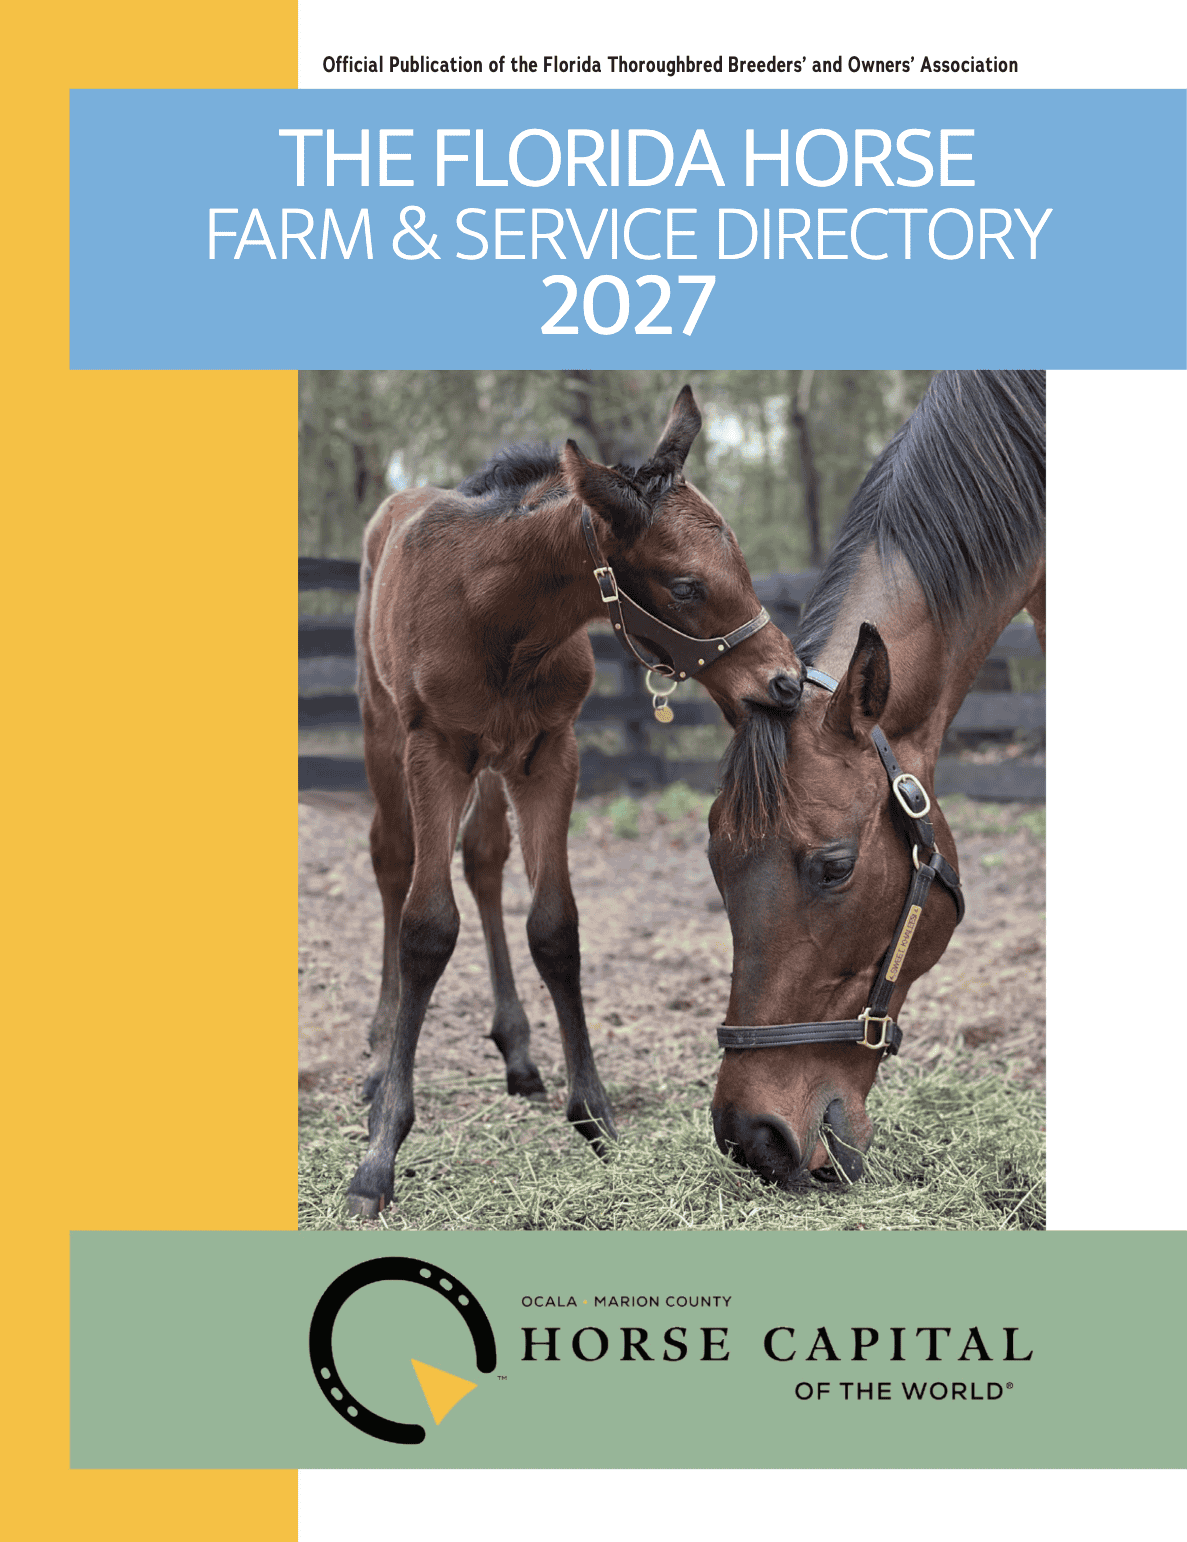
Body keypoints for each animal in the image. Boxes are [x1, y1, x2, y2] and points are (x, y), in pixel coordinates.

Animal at [346, 386, 802, 1216]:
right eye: (684, 585)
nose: (785, 684)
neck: (499, 618)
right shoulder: (434, 750)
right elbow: (426, 928)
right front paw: (379, 1153)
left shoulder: (550, 752)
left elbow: (554, 926)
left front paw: (595, 1119)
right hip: (382, 728)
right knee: (393, 863)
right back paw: (376, 1055)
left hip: (494, 764)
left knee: (483, 859)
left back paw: (518, 1052)